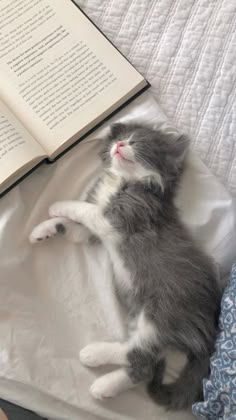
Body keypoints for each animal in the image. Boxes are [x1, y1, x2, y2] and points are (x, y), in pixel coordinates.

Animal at [30, 124, 221, 410]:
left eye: (135, 142)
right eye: (121, 139)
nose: (119, 145)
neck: (126, 182)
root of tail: (210, 326)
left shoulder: (121, 218)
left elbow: (85, 209)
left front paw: (59, 204)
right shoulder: (94, 234)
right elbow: (74, 228)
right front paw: (43, 229)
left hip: (162, 313)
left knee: (139, 353)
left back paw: (95, 356)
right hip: (138, 309)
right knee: (146, 365)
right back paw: (107, 386)